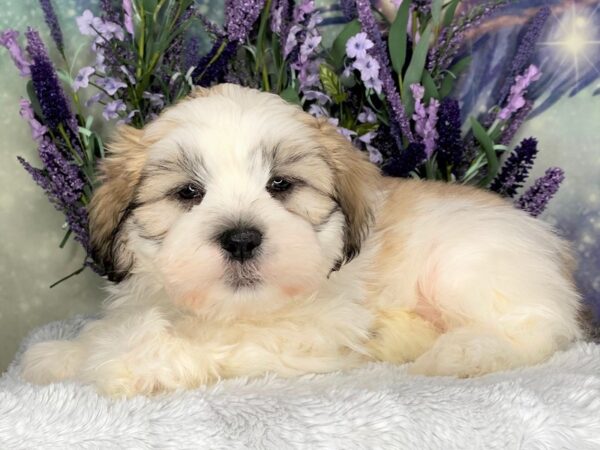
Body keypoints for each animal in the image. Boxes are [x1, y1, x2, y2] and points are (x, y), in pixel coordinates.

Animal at [19, 84, 580, 398]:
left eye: (280, 185)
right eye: (188, 193)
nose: (241, 238)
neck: (230, 310)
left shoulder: (301, 337)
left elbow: (200, 346)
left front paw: (127, 364)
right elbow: (116, 329)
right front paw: (64, 356)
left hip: (467, 268)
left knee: (535, 329)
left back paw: (464, 352)